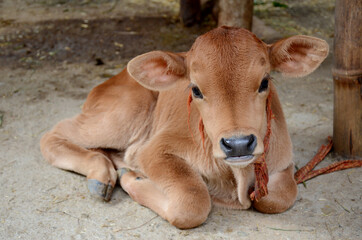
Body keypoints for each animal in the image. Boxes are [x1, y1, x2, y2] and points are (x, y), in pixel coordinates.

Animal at [41, 26, 330, 229]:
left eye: (265, 82)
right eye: (196, 89)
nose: (237, 144)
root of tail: (115, 78)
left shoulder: (285, 163)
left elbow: (276, 198)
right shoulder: (155, 150)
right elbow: (192, 203)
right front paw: (133, 178)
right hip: (121, 117)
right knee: (53, 135)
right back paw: (100, 175)